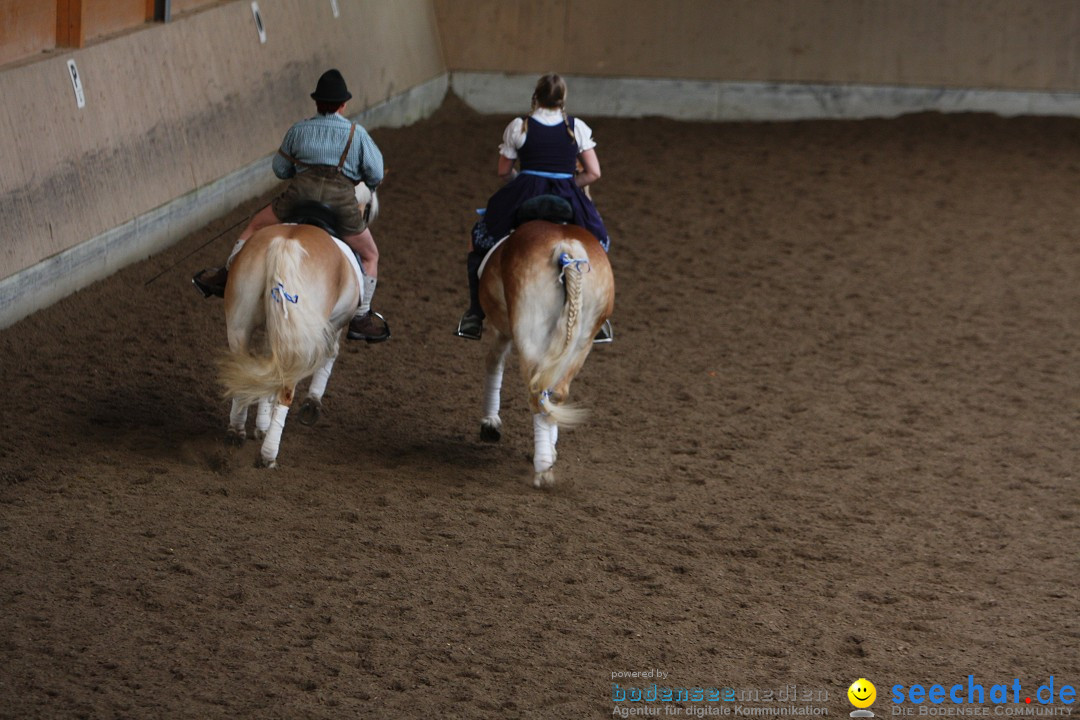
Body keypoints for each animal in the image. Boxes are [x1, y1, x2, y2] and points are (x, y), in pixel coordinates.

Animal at [217, 222, 360, 468]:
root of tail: (284, 244)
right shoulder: (332, 328)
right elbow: (330, 356)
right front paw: (312, 404)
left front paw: (261, 426)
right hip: (299, 343)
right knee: (286, 391)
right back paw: (268, 455)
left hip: (239, 326)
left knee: (246, 375)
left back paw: (236, 430)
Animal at [475, 221, 613, 490]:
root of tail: (566, 247)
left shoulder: (502, 330)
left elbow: (493, 361)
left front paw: (490, 423)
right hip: (581, 342)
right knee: (555, 392)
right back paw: (548, 457)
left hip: (529, 335)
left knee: (536, 393)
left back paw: (542, 468)